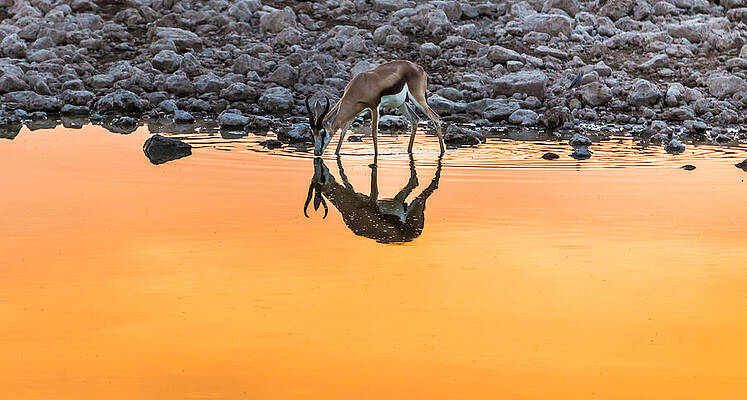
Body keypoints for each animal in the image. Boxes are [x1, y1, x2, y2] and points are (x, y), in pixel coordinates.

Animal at [303, 155, 442, 244]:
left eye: (320, 179)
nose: (318, 161)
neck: (350, 210)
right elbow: (345, 178)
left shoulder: (372, 201)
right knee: (413, 183)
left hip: (417, 205)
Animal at [305, 60, 445, 160]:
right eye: (313, 132)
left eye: (323, 133)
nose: (316, 152)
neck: (360, 85)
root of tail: (419, 68)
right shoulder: (353, 114)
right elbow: (343, 133)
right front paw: (336, 153)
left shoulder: (374, 107)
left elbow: (374, 133)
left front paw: (376, 156)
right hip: (402, 104)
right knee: (415, 120)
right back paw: (408, 151)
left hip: (418, 99)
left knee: (435, 117)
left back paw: (443, 152)